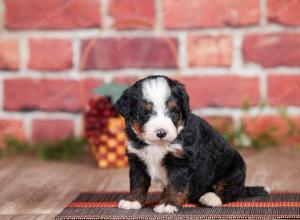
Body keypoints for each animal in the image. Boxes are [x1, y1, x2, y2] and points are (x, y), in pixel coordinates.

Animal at [115, 75, 270, 213]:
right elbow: (137, 182)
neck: (157, 145)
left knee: (230, 191)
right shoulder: (137, 159)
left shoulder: (181, 161)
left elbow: (175, 185)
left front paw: (168, 204)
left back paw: (211, 198)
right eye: (143, 113)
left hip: (233, 169)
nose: (161, 132)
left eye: (174, 112)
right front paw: (132, 200)